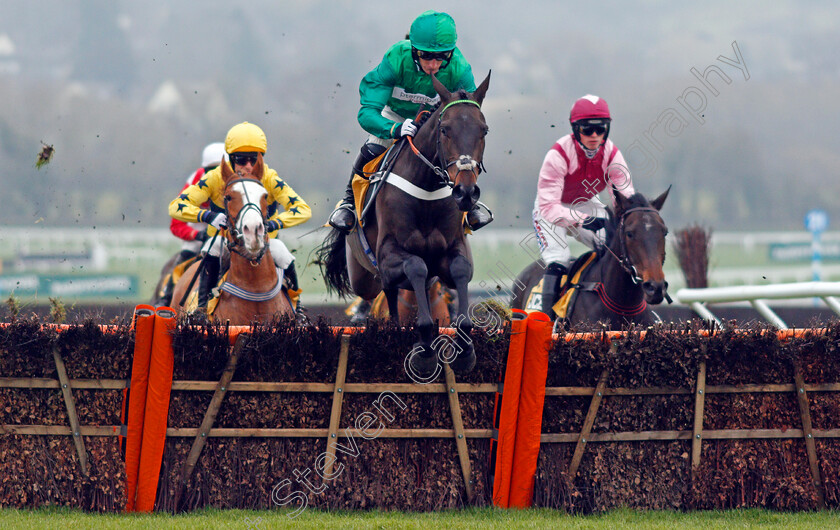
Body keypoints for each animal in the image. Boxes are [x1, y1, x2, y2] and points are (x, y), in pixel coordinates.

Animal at [169, 155, 294, 324]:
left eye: (265, 195)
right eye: (228, 197)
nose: (253, 231)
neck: (256, 292)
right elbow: (179, 203)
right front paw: (216, 218)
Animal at [320, 71, 492, 376]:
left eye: (483, 130)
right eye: (445, 129)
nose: (466, 192)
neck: (426, 190)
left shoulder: (454, 248)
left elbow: (460, 271)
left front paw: (465, 351)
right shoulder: (389, 254)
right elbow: (416, 266)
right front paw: (424, 353)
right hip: (364, 277)